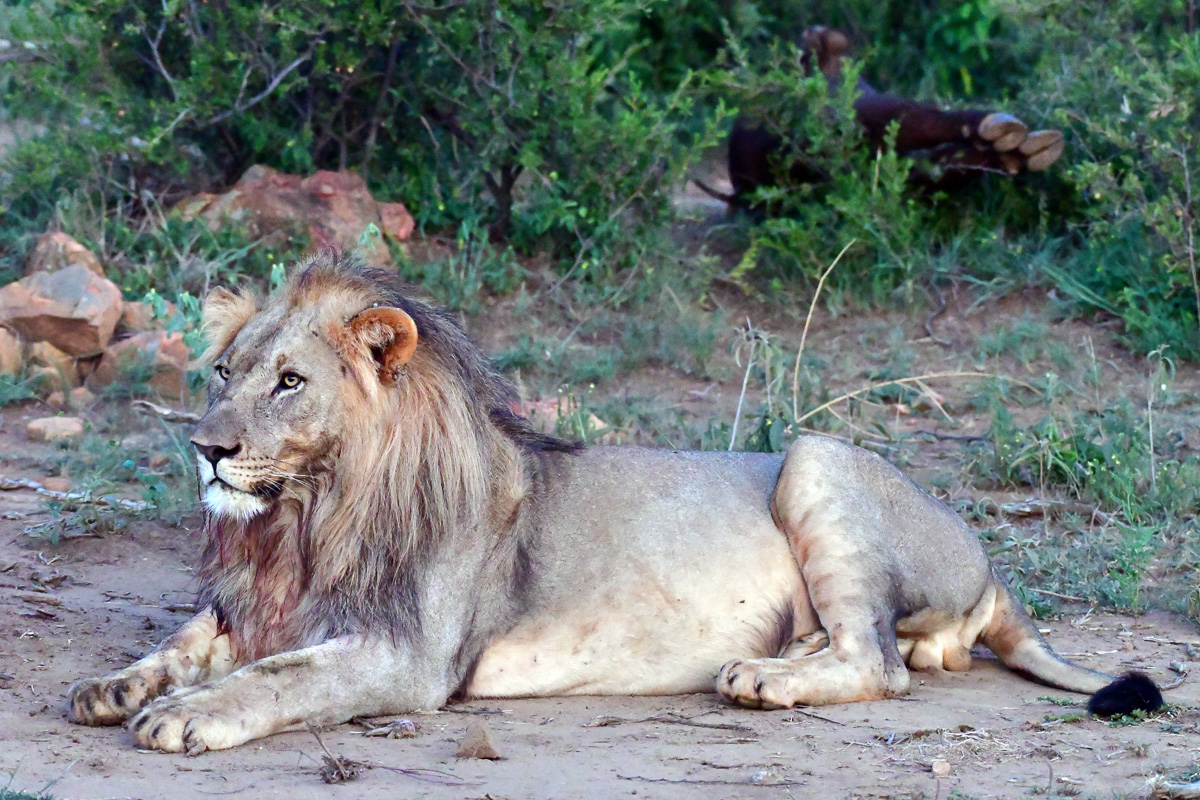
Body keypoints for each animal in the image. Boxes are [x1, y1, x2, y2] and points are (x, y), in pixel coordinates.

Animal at [68, 254, 1160, 753]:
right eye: (224, 371)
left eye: (290, 382)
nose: (206, 447)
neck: (305, 515)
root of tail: (995, 566)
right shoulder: (257, 602)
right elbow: (189, 638)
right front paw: (118, 687)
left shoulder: (406, 655)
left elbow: (281, 678)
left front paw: (183, 715)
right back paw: (781, 655)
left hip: (815, 457)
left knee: (882, 664)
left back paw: (765, 681)